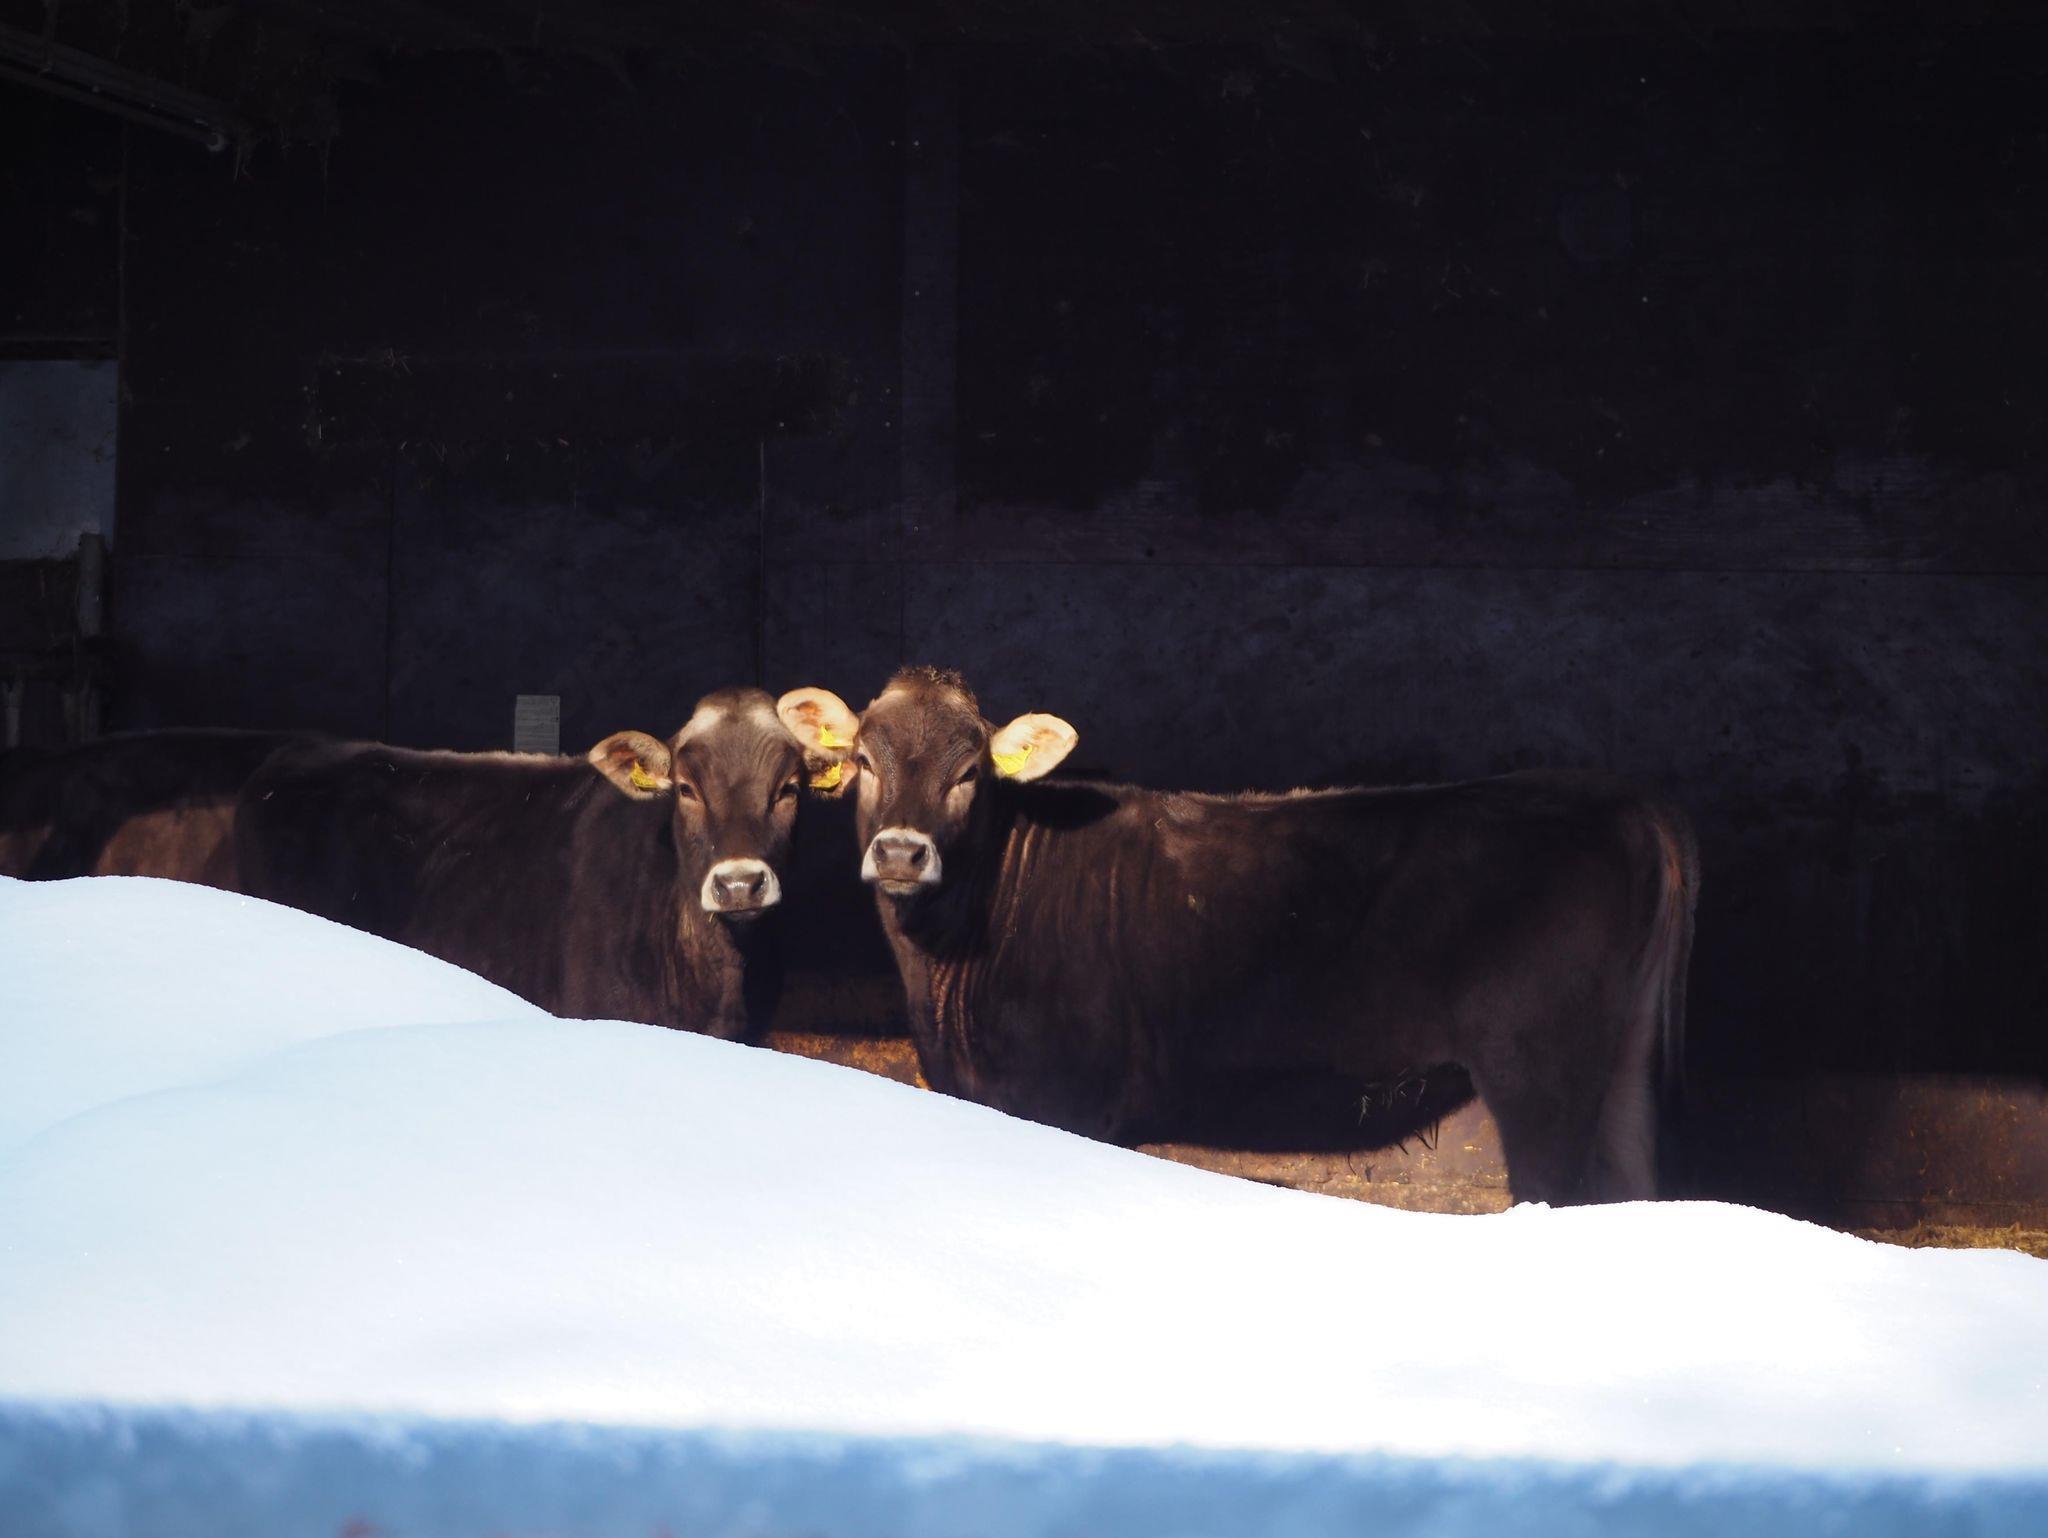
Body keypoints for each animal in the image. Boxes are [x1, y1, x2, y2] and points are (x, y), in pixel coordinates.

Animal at [776, 667, 1698, 1206]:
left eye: (970, 772)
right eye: (863, 761)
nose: (902, 850)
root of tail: (1617, 796)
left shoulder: (1063, 1097)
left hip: (1539, 1067)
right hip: (1619, 1067)